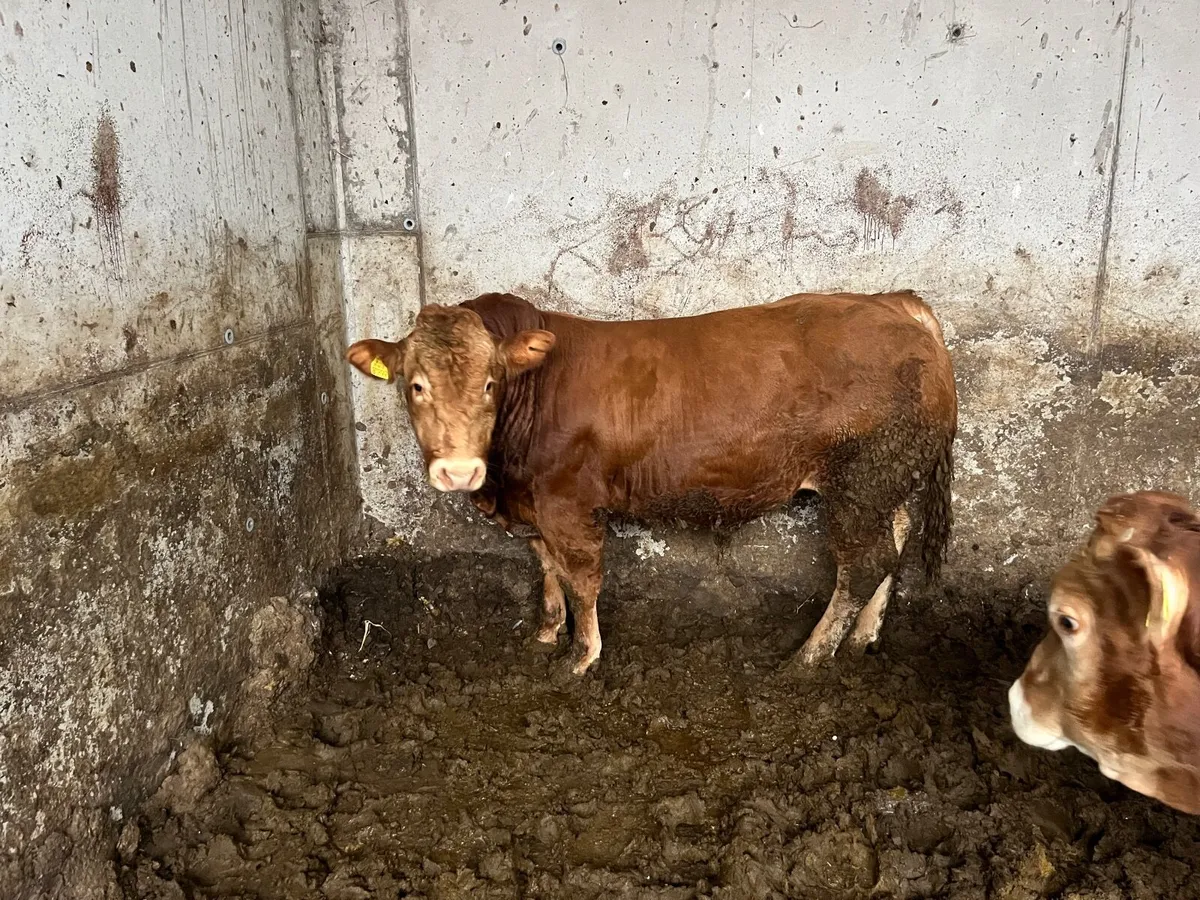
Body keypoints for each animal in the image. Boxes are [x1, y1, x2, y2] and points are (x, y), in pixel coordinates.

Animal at [347, 291, 957, 675]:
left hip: (860, 480)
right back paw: (861, 640)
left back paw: (807, 659)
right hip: (883, 480)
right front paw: (545, 634)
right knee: (894, 540)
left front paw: (580, 658)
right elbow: (546, 568)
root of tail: (892, 303)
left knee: (863, 564)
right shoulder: (535, 507)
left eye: (491, 382)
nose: (457, 470)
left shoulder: (568, 503)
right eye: (415, 385)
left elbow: (581, 578)